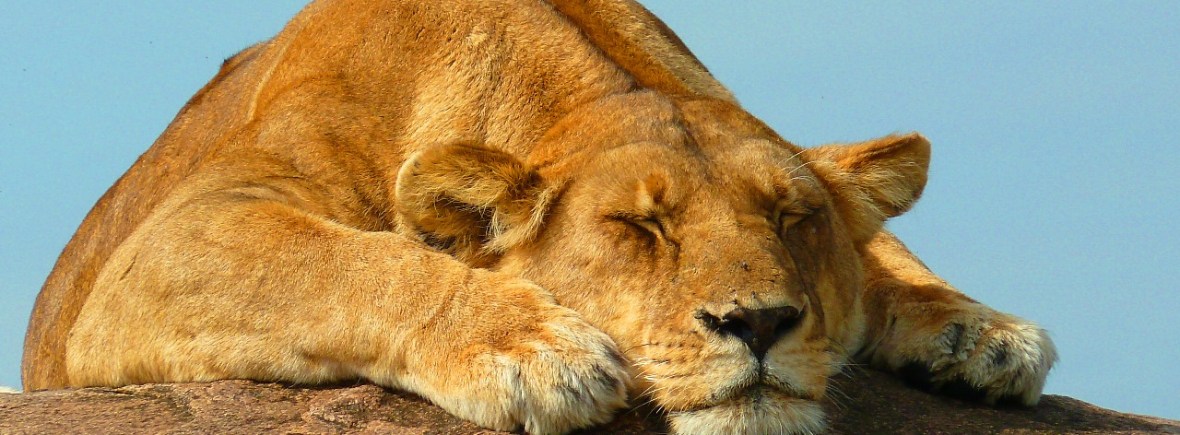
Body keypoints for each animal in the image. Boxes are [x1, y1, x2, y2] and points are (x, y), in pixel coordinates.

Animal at [23, 1, 1056, 433]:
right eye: (641, 227)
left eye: (792, 218)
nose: (760, 323)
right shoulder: (173, 238)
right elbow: (352, 262)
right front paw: (536, 351)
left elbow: (887, 249)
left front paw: (978, 331)